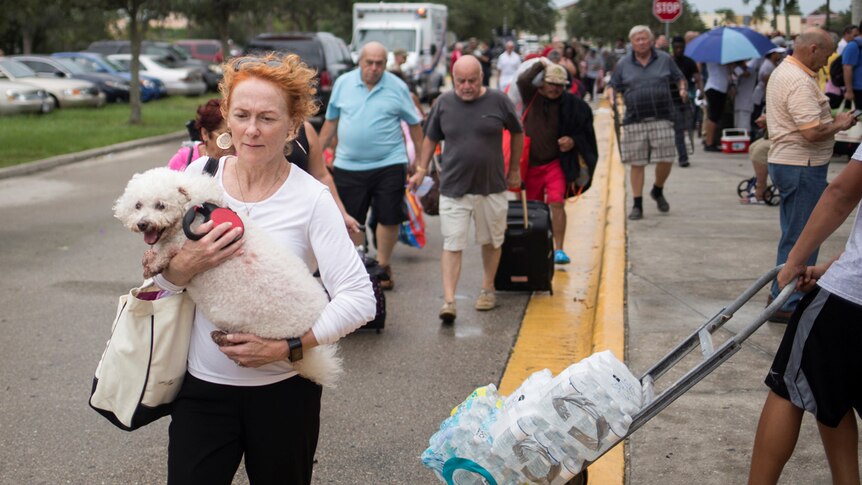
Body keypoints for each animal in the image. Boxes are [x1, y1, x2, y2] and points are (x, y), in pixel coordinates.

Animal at [114, 166, 340, 386]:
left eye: (161, 205)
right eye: (137, 205)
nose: (143, 224)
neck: (191, 213)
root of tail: (307, 327)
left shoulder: (183, 243)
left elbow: (167, 252)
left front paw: (153, 263)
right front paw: (149, 260)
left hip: (262, 332)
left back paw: (222, 339)